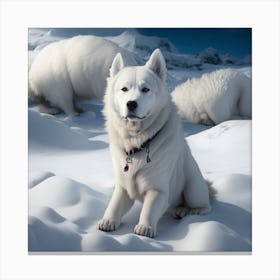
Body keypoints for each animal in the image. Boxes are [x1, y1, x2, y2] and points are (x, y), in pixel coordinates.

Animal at [98, 49, 210, 237]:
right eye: (124, 89)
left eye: (145, 89)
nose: (131, 104)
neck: (138, 143)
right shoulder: (123, 186)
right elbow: (114, 205)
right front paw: (108, 221)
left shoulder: (158, 190)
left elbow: (149, 209)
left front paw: (145, 228)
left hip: (193, 187)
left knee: (204, 205)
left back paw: (186, 211)